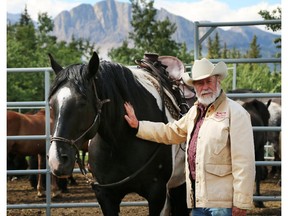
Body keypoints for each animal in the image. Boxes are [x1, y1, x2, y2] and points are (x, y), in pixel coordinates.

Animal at [47, 51, 189, 215]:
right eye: (51, 104)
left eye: (82, 103)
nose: (57, 160)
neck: (119, 143)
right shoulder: (105, 195)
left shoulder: (157, 194)